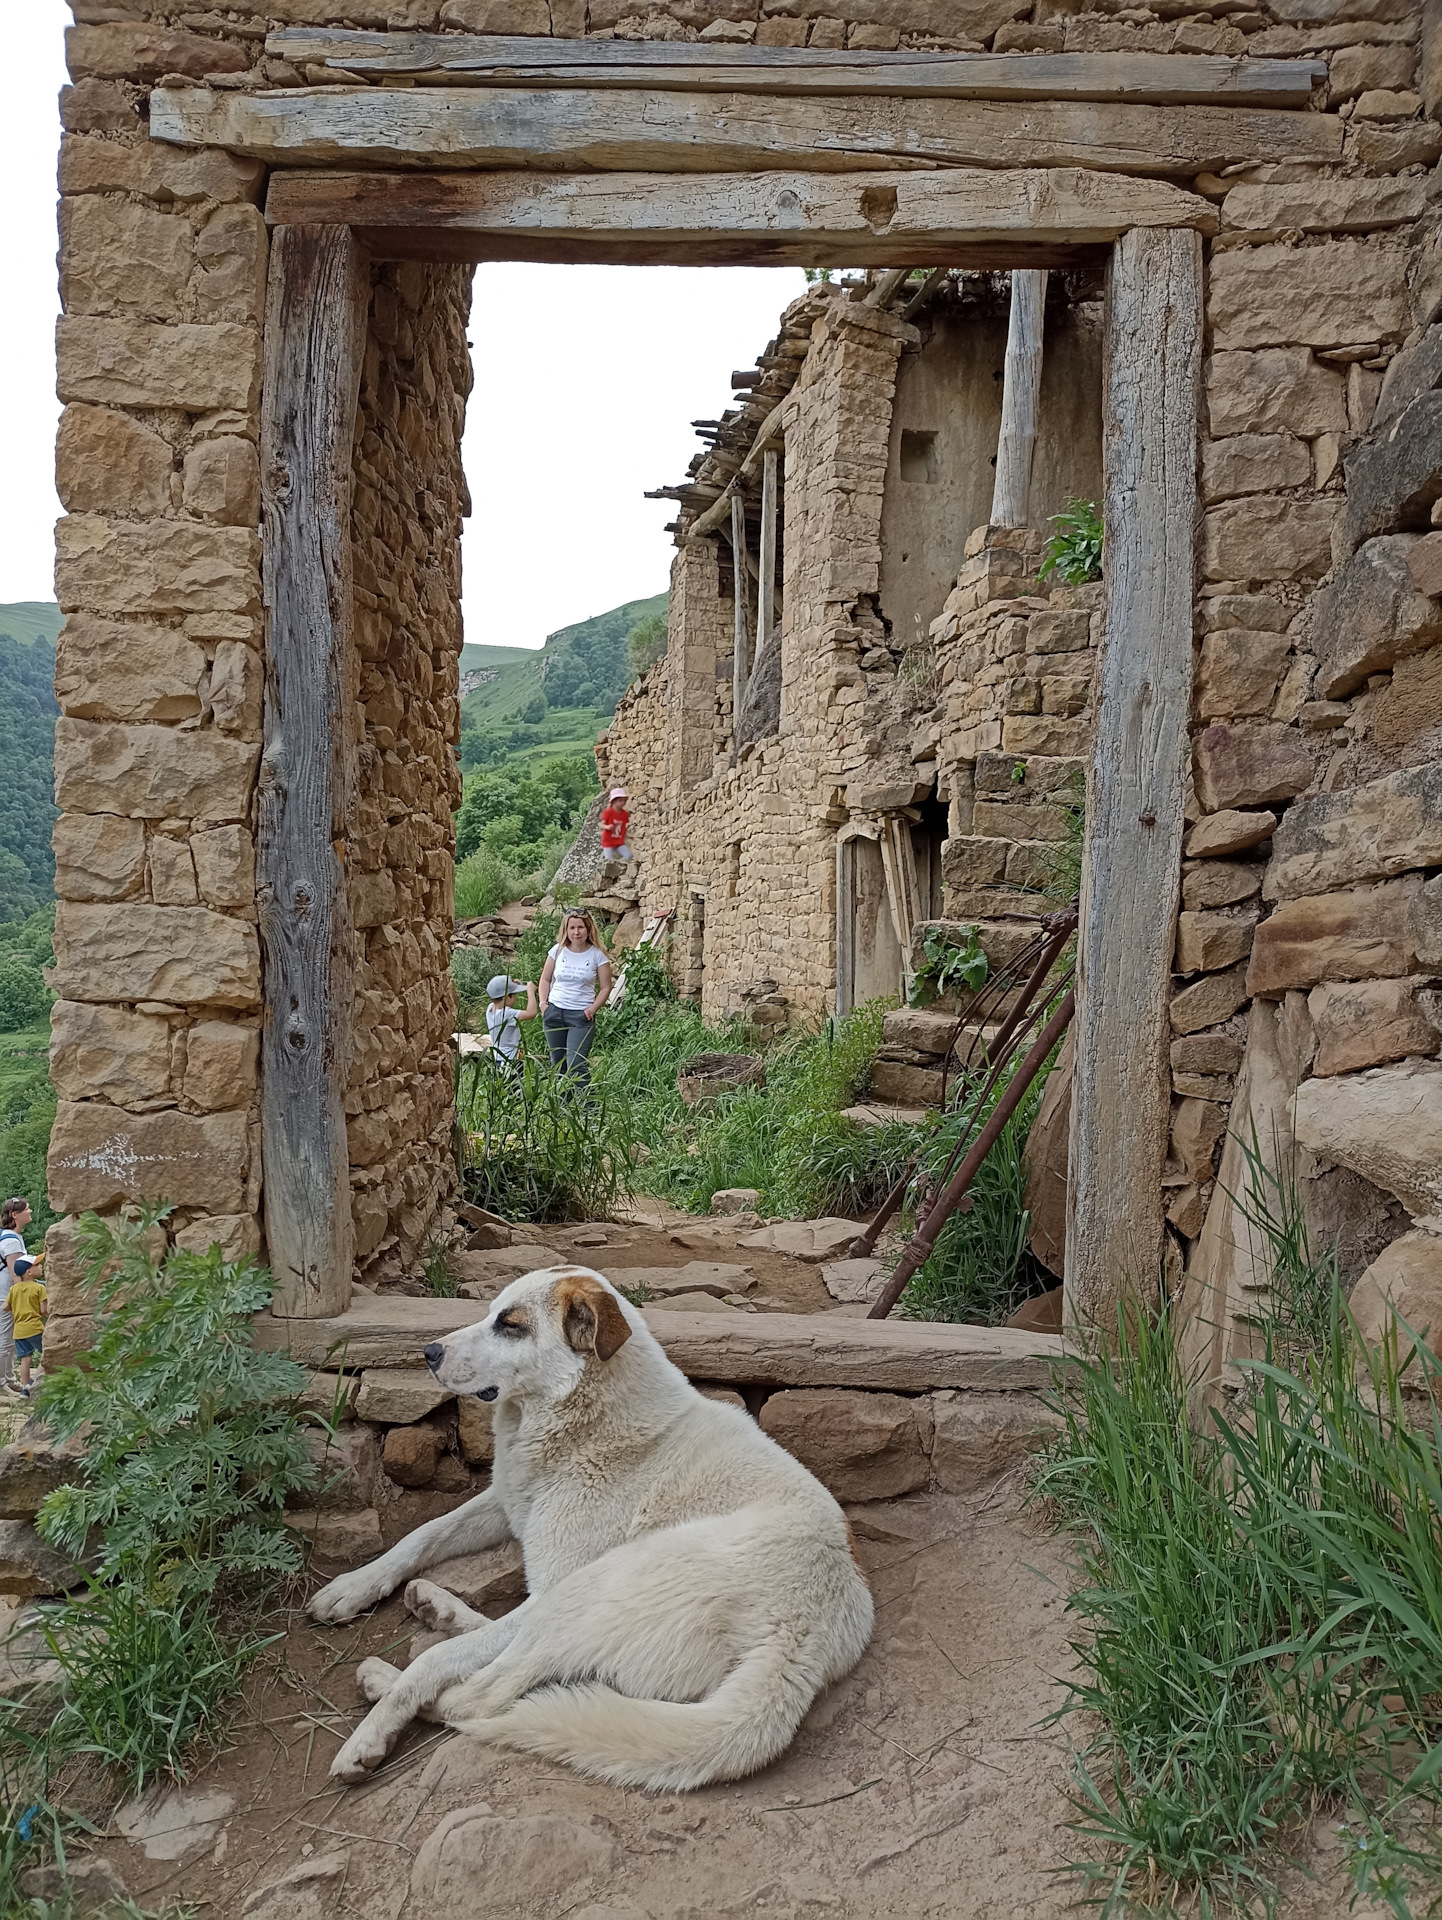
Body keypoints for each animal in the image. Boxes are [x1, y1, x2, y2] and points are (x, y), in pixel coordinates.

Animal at [311, 1267, 875, 1789]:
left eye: (510, 1325)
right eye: (490, 1313)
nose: (428, 1352)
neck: (579, 1421)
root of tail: (804, 1639)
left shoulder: (549, 1585)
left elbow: (440, 1662)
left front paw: (369, 1735)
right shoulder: (505, 1503)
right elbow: (419, 1536)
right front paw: (349, 1587)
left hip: (589, 1586)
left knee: (479, 1695)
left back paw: (386, 1684)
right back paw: (438, 1609)